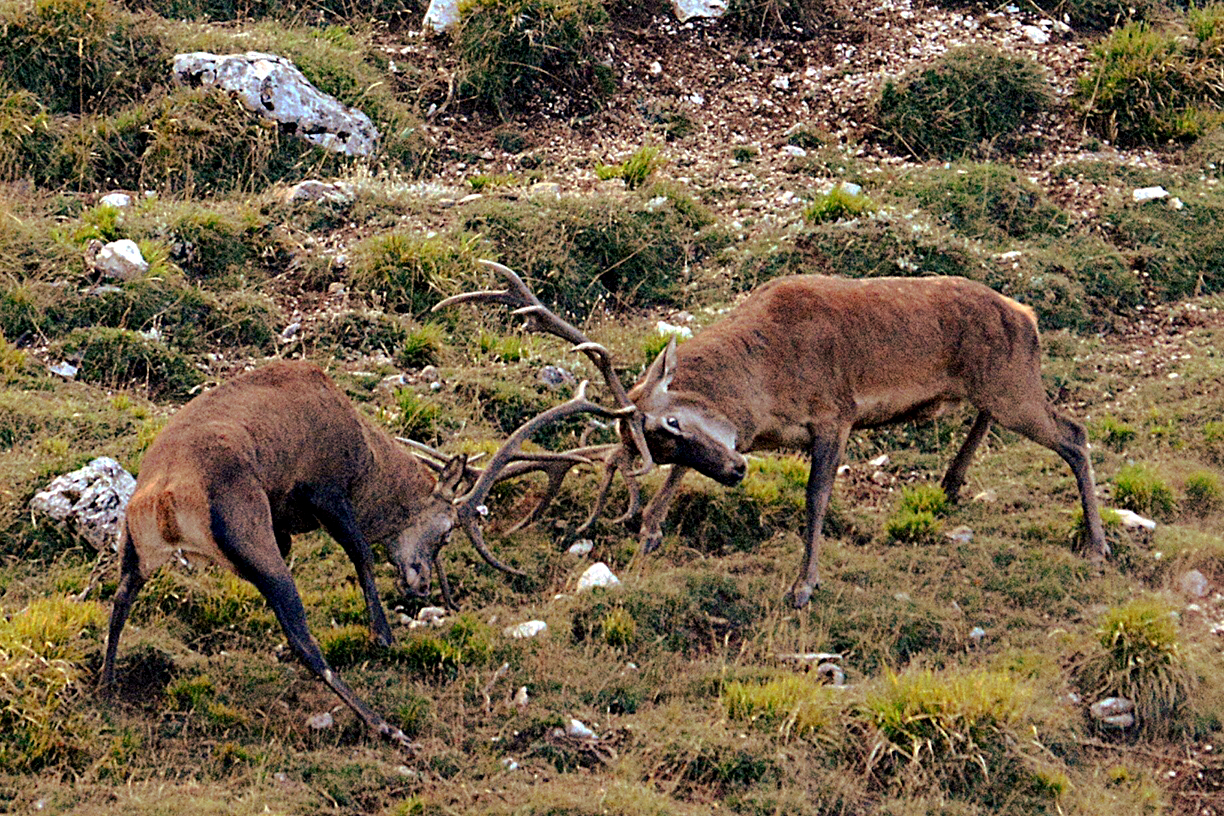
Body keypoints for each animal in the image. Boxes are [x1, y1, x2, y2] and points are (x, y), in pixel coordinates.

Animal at [101, 359, 625, 749]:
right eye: (447, 531)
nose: (423, 586)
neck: (366, 457)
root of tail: (165, 497)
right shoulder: (324, 490)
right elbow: (361, 555)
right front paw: (384, 635)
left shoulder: (285, 521)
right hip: (248, 533)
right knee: (304, 640)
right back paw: (387, 727)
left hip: (136, 545)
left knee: (120, 598)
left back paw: (105, 692)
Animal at [440, 261, 1110, 609]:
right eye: (658, 442)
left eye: (671, 423)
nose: (738, 473)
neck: (766, 384)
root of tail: (1027, 316)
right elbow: (679, 485)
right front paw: (648, 534)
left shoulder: (835, 411)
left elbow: (815, 500)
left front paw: (802, 586)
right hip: (994, 387)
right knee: (999, 420)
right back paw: (951, 480)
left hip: (1013, 384)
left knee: (1075, 433)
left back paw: (1098, 545)